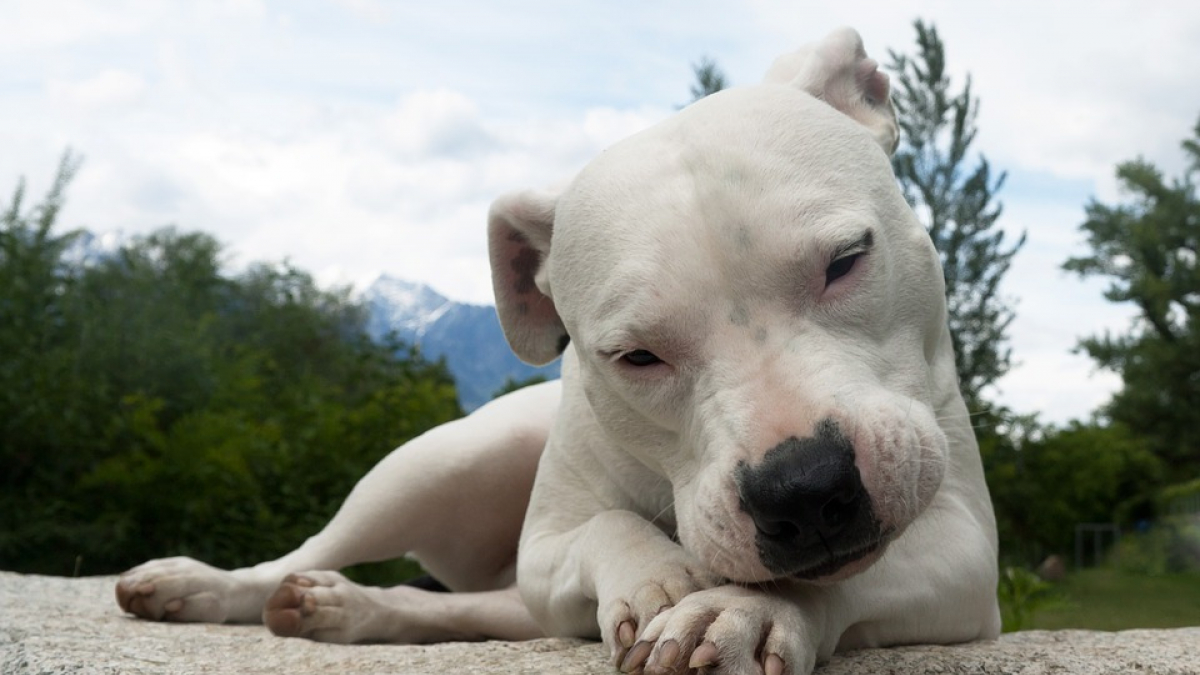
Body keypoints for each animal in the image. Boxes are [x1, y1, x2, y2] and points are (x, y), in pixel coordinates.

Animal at [117, 27, 998, 672]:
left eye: (846, 260)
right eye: (635, 356)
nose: (805, 488)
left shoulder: (966, 554)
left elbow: (862, 568)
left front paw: (745, 606)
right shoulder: (544, 550)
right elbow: (604, 525)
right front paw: (658, 572)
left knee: (467, 606)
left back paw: (349, 607)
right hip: (437, 462)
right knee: (315, 548)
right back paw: (205, 586)